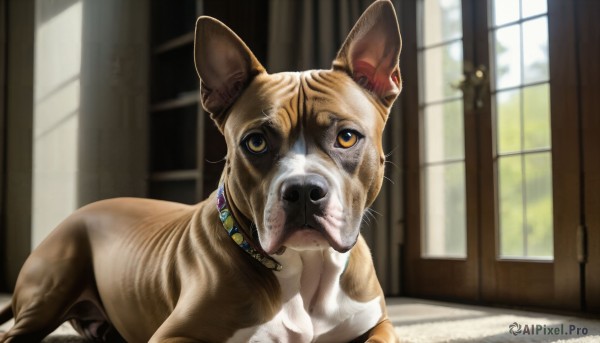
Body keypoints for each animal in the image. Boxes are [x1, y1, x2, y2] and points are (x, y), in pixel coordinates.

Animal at [1, 1, 404, 342]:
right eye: (256, 142)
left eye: (347, 137)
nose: (304, 190)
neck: (307, 267)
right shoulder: (174, 335)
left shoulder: (381, 323)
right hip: (50, 289)